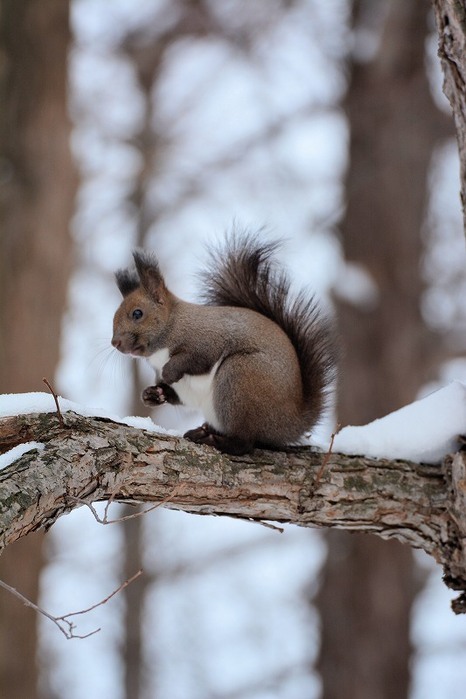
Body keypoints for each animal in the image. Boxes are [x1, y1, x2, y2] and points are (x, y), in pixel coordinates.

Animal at [113, 232, 338, 456]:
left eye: (137, 314)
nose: (115, 342)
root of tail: (293, 422)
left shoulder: (207, 341)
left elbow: (194, 359)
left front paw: (169, 371)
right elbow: (176, 395)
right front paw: (152, 394)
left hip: (240, 378)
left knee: (244, 443)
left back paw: (213, 440)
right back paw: (203, 431)